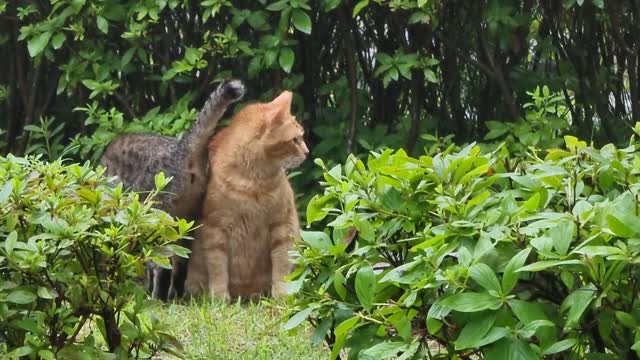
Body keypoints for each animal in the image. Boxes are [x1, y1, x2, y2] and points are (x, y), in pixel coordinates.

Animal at [99, 79, 245, 300]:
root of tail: (181, 149)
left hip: (159, 217)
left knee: (164, 263)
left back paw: (158, 296)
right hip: (188, 222)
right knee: (182, 262)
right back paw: (175, 294)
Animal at [185, 90, 308, 298]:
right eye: (295, 140)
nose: (307, 152)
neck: (253, 183)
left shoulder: (283, 226)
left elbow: (282, 267)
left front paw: (282, 295)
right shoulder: (215, 228)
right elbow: (218, 268)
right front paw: (220, 297)